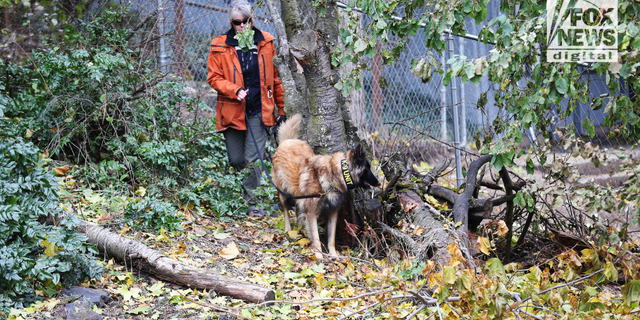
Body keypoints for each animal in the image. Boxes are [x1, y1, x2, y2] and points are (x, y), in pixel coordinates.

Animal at [272, 114, 380, 258]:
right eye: (367, 169)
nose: (379, 183)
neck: (332, 177)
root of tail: (288, 141)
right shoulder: (312, 213)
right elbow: (316, 237)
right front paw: (319, 256)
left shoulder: (332, 213)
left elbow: (331, 238)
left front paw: (334, 255)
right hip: (284, 193)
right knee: (285, 210)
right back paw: (288, 229)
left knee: (298, 210)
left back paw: (299, 227)